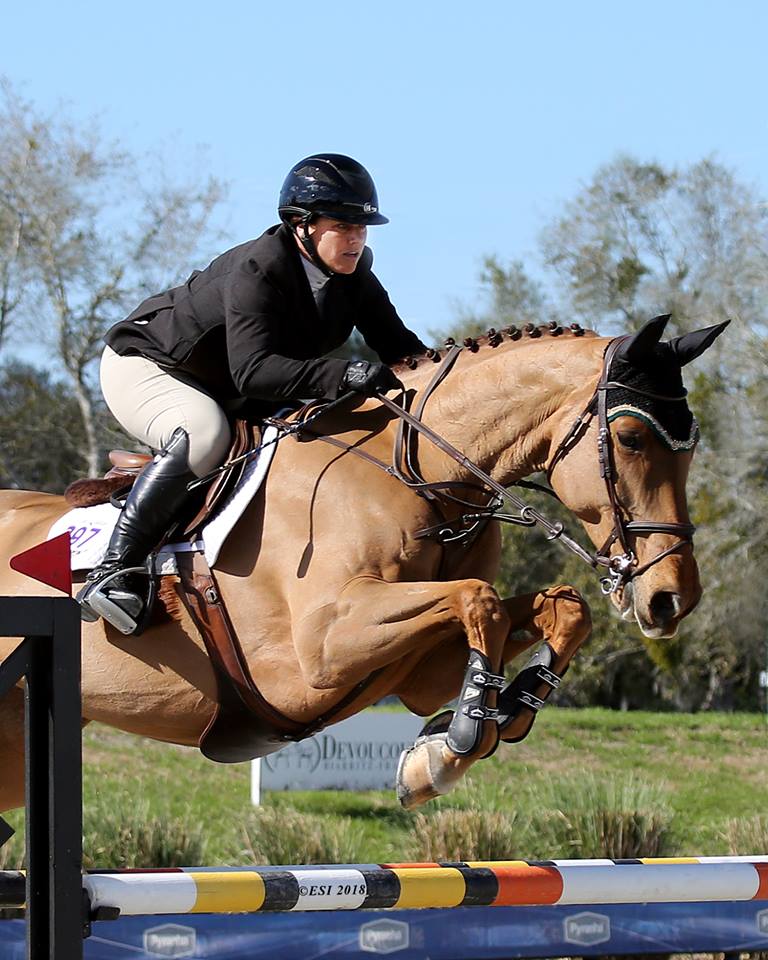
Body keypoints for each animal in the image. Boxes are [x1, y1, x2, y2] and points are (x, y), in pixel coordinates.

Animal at [0, 314, 726, 812]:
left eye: (691, 447)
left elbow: (558, 609)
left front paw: (490, 721)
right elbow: (479, 600)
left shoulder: (418, 668)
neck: (420, 474)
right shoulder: (318, 655)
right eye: (630, 438)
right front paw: (451, 747)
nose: (671, 598)